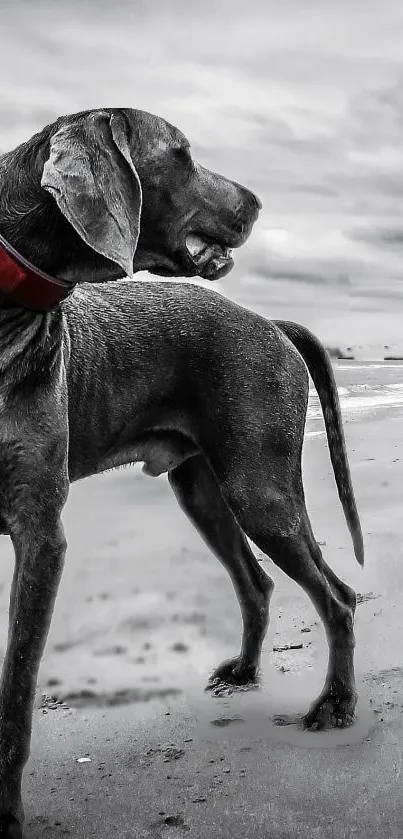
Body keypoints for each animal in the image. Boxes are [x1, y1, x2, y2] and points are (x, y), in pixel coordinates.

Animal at [0, 108, 362, 836]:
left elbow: (16, 698)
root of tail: (268, 322)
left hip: (260, 490)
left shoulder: (39, 537)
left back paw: (335, 704)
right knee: (259, 584)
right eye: (181, 153)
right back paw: (246, 673)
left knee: (334, 597)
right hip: (203, 490)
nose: (256, 203)